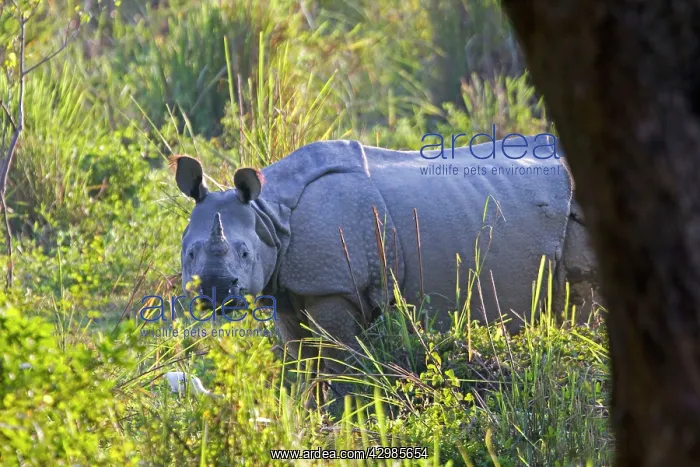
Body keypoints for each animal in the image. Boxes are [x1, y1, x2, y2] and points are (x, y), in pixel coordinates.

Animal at [173, 136, 599, 379]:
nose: (215, 292)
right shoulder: (289, 289)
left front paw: (342, 414)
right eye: (189, 252)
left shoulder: (334, 283)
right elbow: (301, 358)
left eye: (245, 252)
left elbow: (338, 360)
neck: (270, 215)